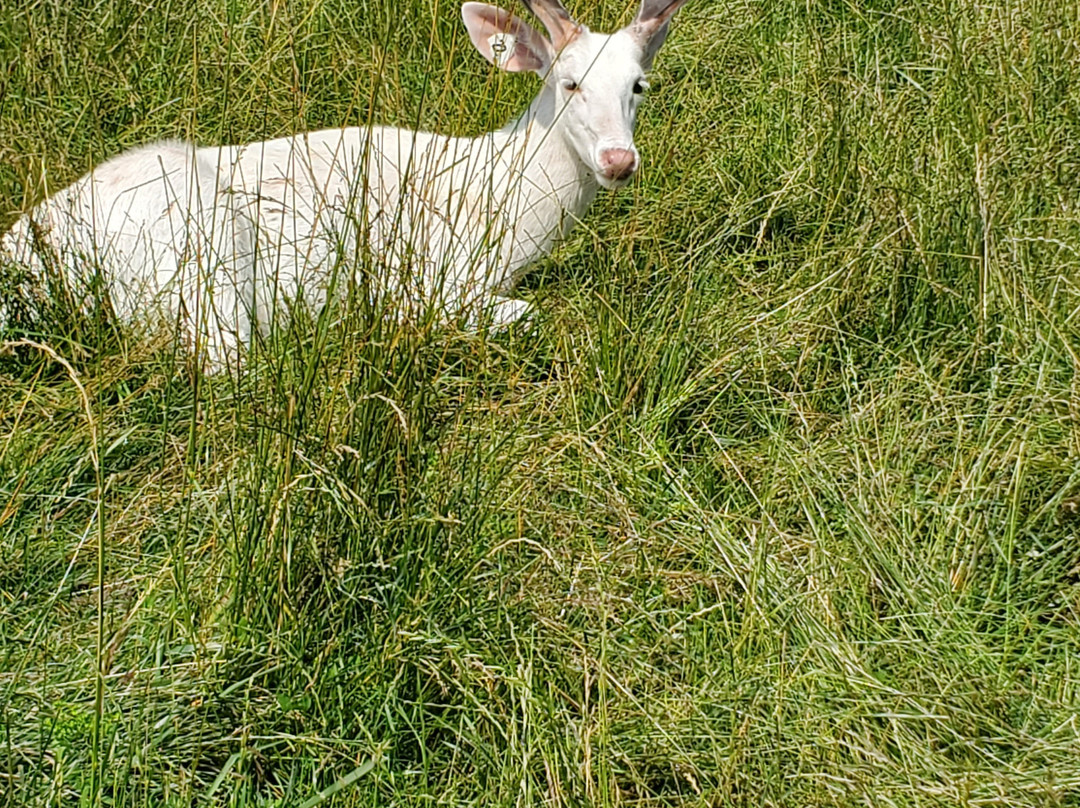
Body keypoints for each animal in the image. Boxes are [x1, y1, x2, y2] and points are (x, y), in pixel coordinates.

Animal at [0, 0, 691, 367]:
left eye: (639, 85)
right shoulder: (437, 279)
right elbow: (535, 317)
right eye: (568, 82)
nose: (617, 160)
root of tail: (26, 257)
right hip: (195, 256)